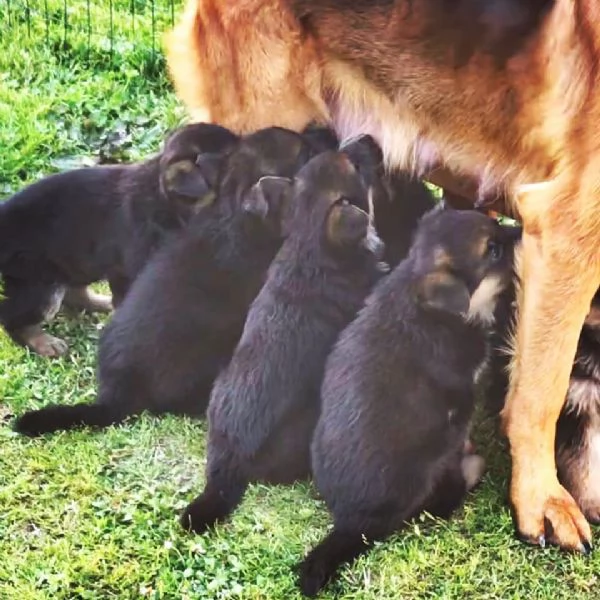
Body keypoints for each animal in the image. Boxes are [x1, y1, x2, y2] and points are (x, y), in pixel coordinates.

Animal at [0, 122, 239, 356]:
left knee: (75, 292)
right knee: (15, 318)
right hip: (40, 283)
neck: (165, 200)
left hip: (78, 262)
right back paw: (44, 343)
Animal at [298, 207, 520, 596]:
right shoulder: (458, 407)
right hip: (423, 469)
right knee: (430, 507)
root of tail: (350, 521)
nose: (524, 231)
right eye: (492, 250)